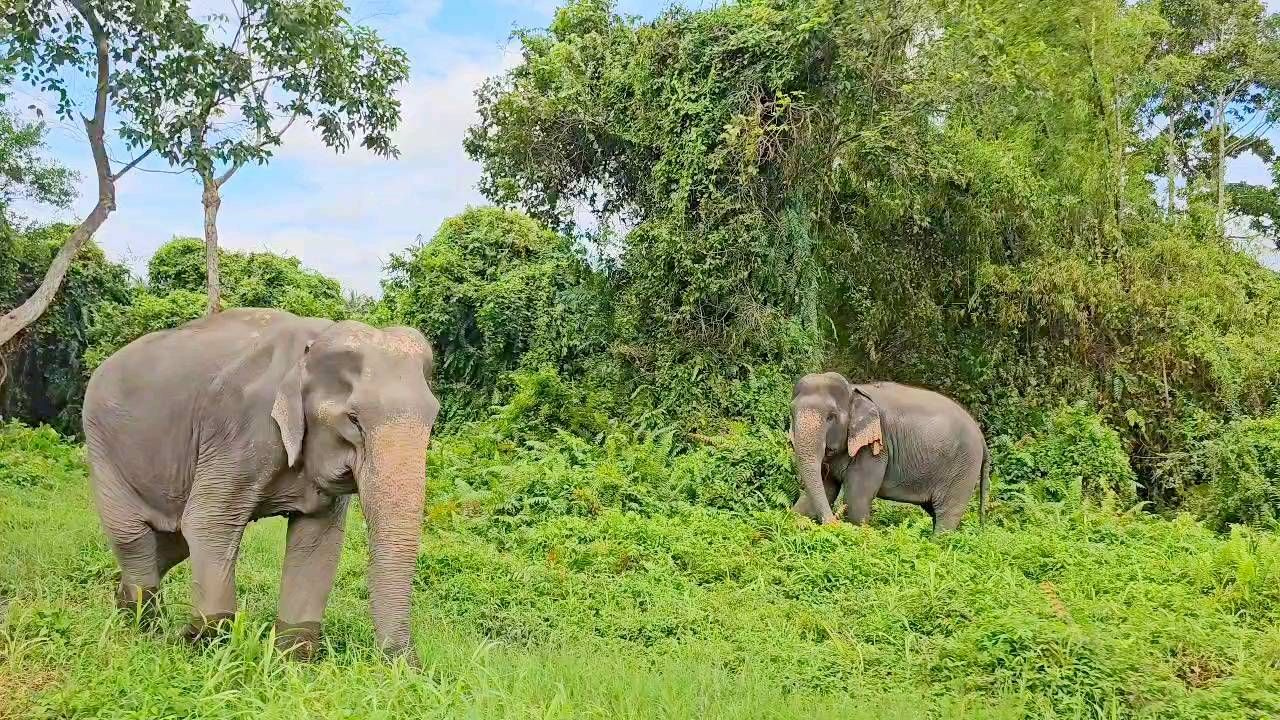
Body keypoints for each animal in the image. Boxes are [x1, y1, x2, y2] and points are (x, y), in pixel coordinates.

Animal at [82, 308, 439, 663]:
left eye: (433, 418)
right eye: (353, 420)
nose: (410, 667)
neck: (313, 343)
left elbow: (317, 541)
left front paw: (291, 661)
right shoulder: (239, 428)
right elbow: (209, 523)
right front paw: (204, 646)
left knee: (174, 540)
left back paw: (120, 602)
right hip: (103, 448)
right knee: (132, 535)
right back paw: (143, 627)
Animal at [789, 373, 988, 534]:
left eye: (831, 417)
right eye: (792, 412)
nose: (834, 522)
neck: (854, 391)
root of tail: (981, 436)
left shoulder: (877, 449)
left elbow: (856, 500)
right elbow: (824, 490)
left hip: (963, 467)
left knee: (947, 514)